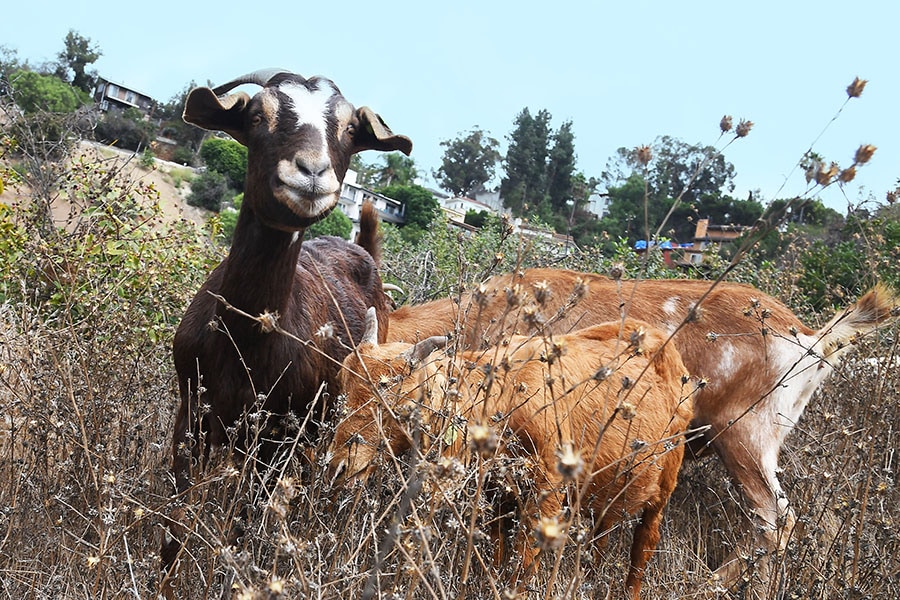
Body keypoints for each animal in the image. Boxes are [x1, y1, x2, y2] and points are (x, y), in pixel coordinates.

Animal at [161, 70, 412, 592]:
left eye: (349, 130)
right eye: (258, 116)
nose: (312, 171)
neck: (243, 341)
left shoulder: (274, 443)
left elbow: (243, 529)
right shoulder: (191, 412)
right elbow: (174, 526)